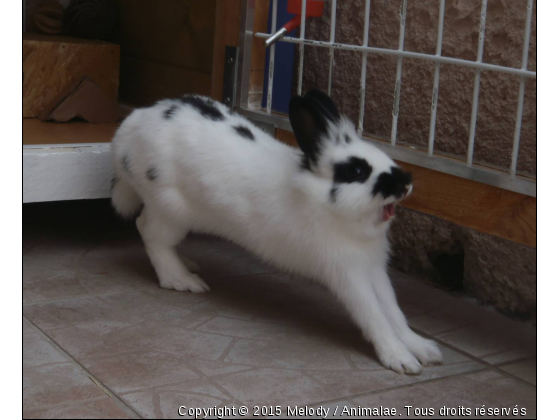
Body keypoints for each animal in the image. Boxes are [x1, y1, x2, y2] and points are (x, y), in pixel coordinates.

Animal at [111, 90, 444, 372]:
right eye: (357, 171)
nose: (406, 181)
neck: (324, 204)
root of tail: (127, 132)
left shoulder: (373, 268)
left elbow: (393, 311)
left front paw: (424, 349)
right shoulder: (348, 274)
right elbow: (374, 315)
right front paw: (400, 359)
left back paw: (188, 264)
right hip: (171, 209)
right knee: (150, 233)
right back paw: (182, 279)